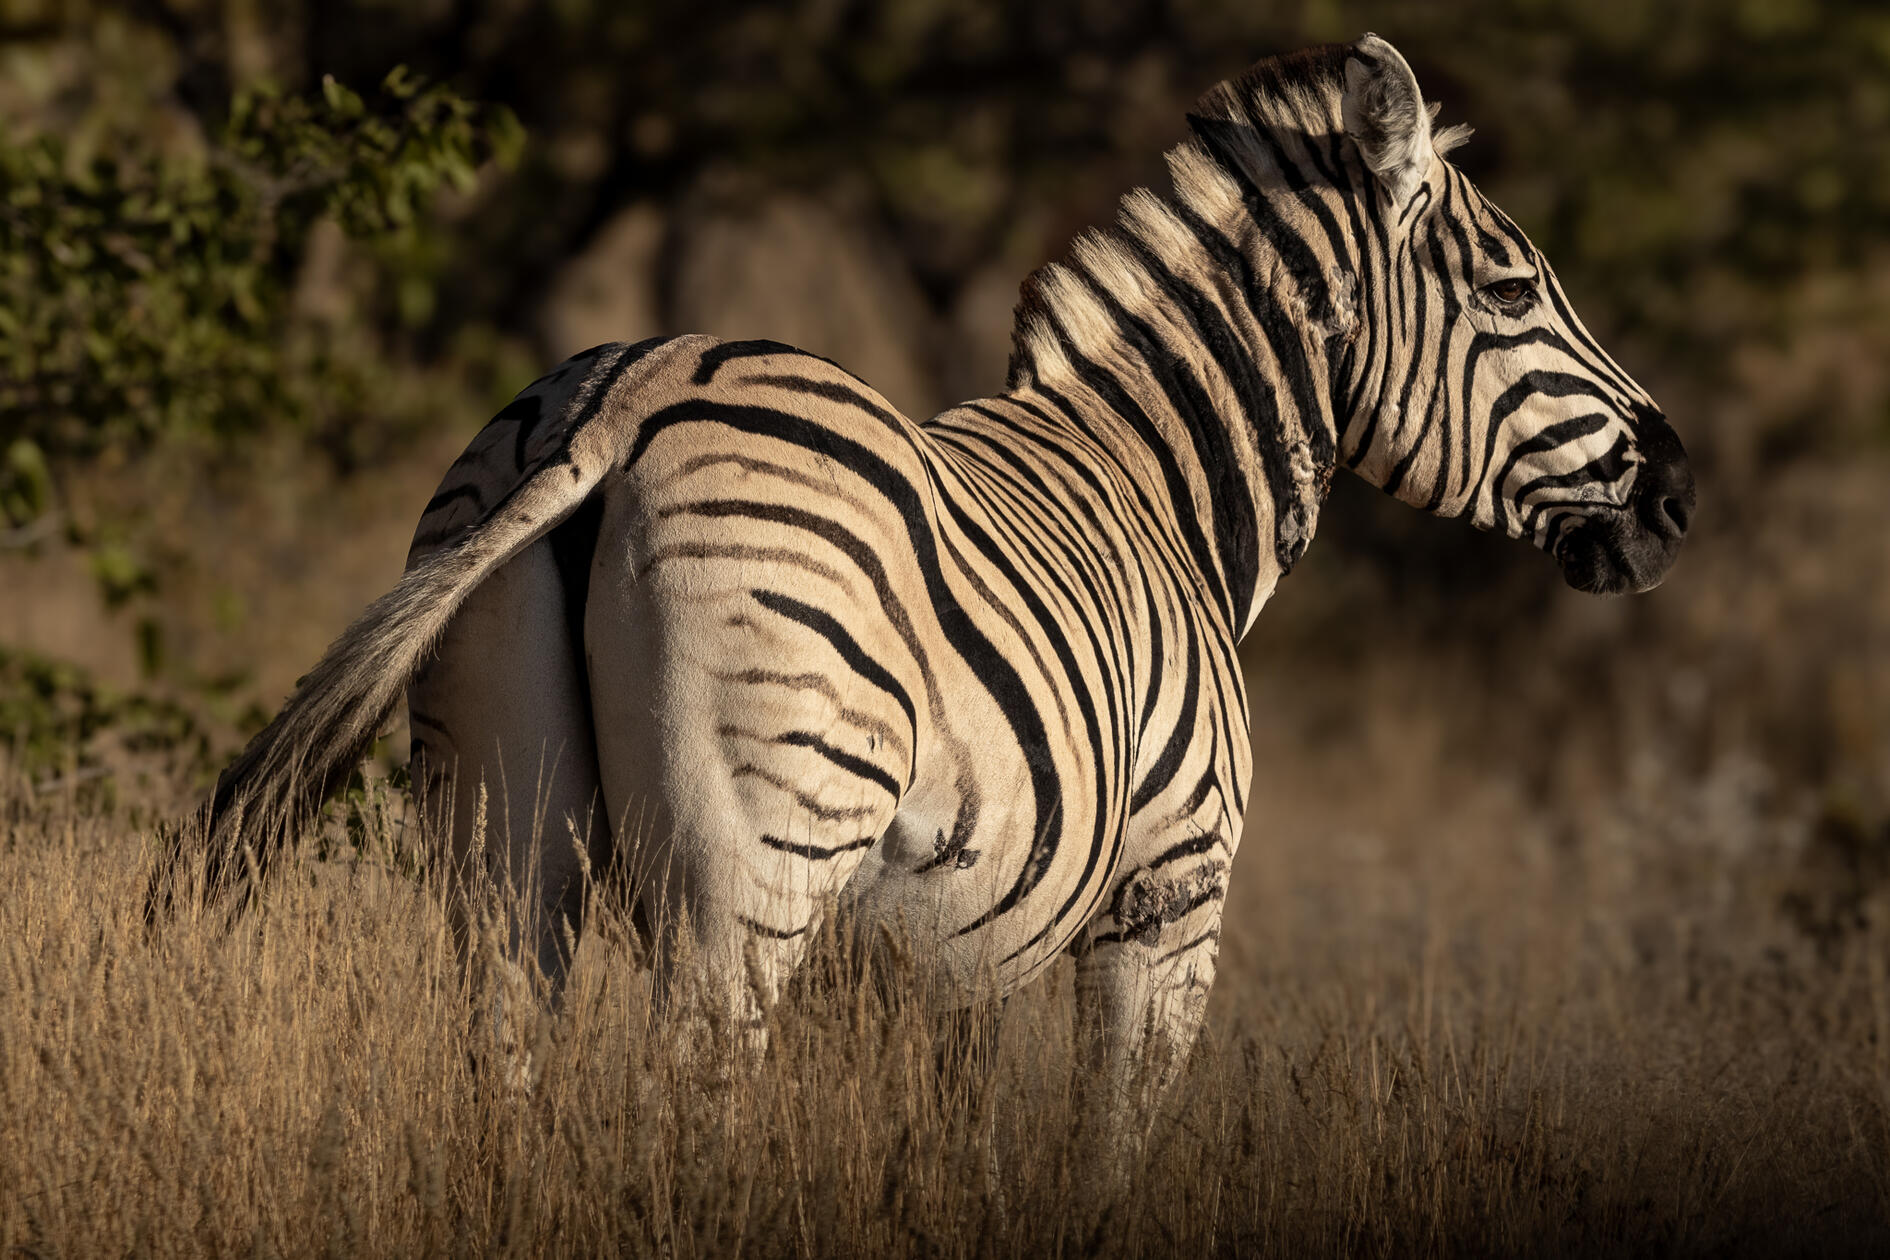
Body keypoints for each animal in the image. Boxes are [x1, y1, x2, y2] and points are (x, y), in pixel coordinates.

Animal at [158, 34, 1691, 1122]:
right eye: (1511, 293)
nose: (1676, 493)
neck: (1168, 497)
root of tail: (623, 394)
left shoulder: (936, 967)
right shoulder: (1167, 898)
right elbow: (1104, 1155)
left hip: (501, 830)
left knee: (507, 1062)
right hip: (756, 854)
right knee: (691, 1095)